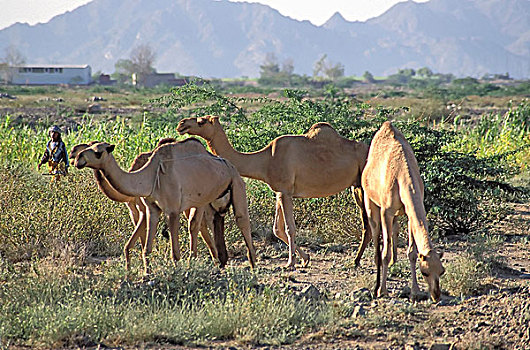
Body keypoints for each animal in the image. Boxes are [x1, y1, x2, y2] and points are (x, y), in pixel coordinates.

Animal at [75, 138, 256, 274]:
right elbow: (146, 248)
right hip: (205, 199)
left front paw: (176, 271)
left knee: (241, 219)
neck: (149, 176)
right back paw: (209, 261)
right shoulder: (152, 209)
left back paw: (253, 265)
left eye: (98, 152)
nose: (78, 159)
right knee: (200, 223)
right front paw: (147, 274)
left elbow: (174, 252)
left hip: (236, 183)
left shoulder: (172, 210)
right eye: (88, 147)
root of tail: (229, 165)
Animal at [175, 115, 370, 268]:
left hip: (362, 186)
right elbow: (278, 229)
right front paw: (305, 258)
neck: (265, 160)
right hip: (356, 186)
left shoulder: (285, 190)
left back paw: (359, 261)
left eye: (201, 121)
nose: (181, 124)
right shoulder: (279, 192)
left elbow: (290, 228)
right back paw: (357, 260)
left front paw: (290, 262)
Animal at [360, 121, 444, 302]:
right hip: (370, 202)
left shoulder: (410, 213)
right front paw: (382, 291)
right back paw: (376, 283)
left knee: (393, 231)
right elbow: (384, 253)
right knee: (376, 238)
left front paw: (415, 291)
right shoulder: (386, 211)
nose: (436, 295)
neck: (402, 176)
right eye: (424, 272)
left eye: (442, 271)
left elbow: (412, 252)